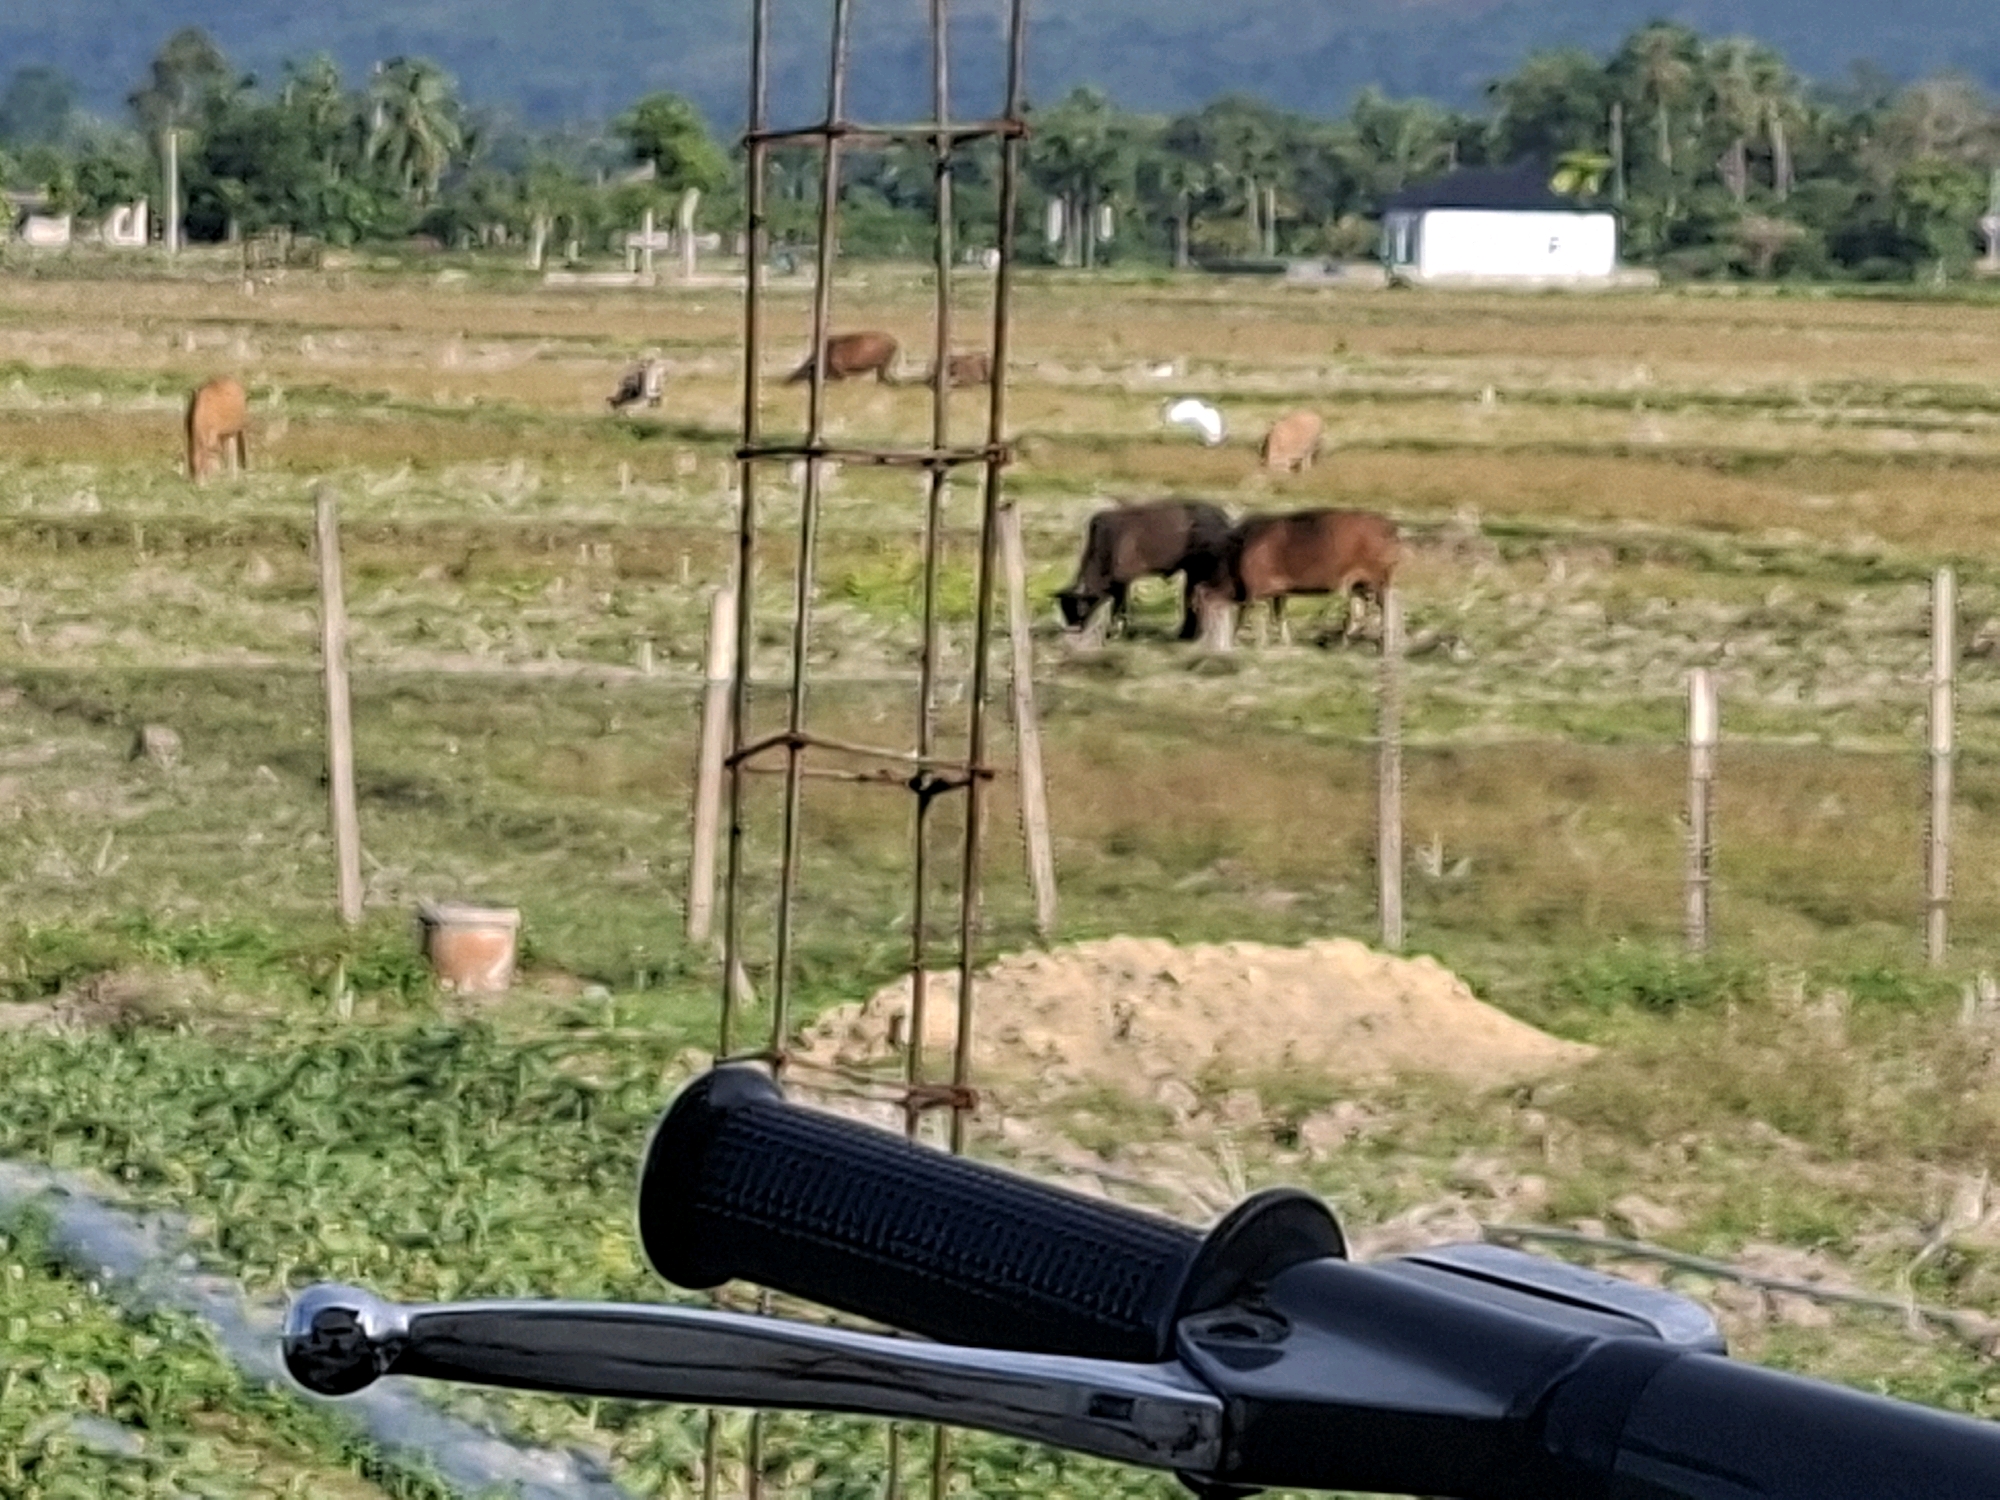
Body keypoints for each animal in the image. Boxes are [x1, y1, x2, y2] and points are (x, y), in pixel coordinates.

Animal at [1056, 499, 1233, 641]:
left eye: (1079, 607)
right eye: (1064, 609)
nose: (1073, 629)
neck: (1106, 546)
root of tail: (1223, 519)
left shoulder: (1123, 581)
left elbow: (1120, 607)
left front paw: (1115, 632)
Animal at [1197, 508, 1400, 648]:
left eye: (1199, 606)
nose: (1201, 636)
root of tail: (1387, 526)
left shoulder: (1255, 591)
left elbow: (1250, 616)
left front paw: (1251, 642)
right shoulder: (1278, 592)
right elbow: (1278, 616)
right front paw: (1285, 642)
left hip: (1377, 582)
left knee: (1383, 608)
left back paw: (1383, 642)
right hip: (1359, 585)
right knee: (1358, 612)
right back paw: (1343, 643)